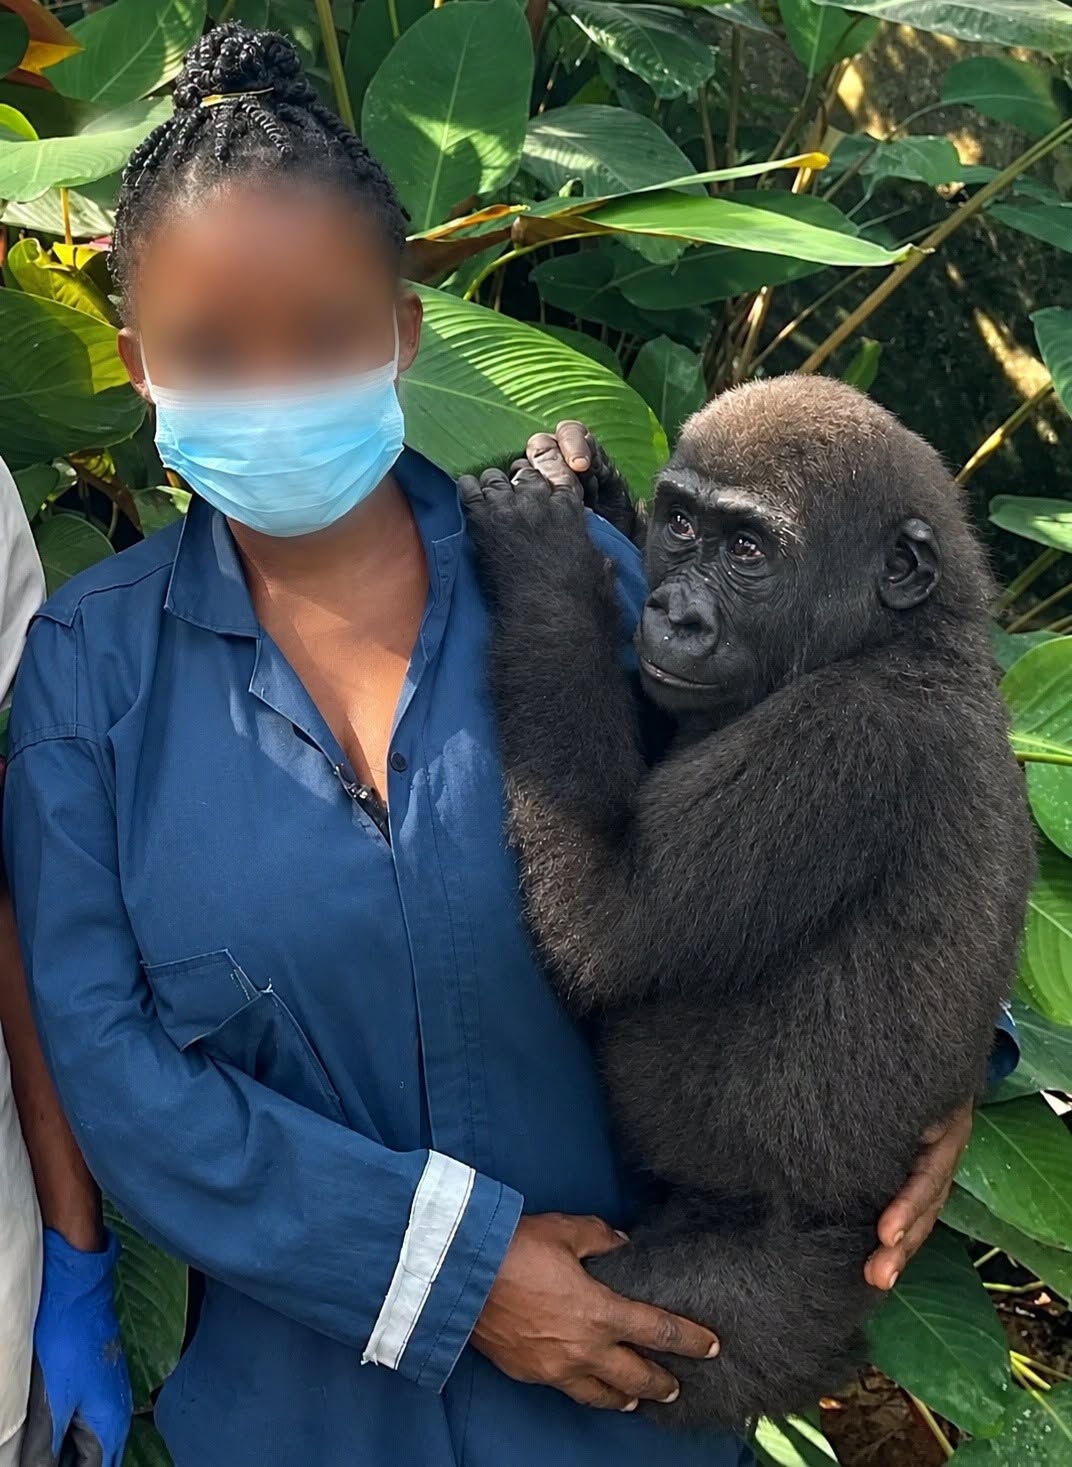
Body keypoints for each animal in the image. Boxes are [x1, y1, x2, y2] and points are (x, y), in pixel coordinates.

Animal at [457, 375, 1036, 1431]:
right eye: (683, 526)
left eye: (749, 552)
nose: (675, 614)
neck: (912, 632)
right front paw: (591, 482)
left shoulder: (844, 739)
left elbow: (606, 925)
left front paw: (546, 562)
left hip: (748, 1312)